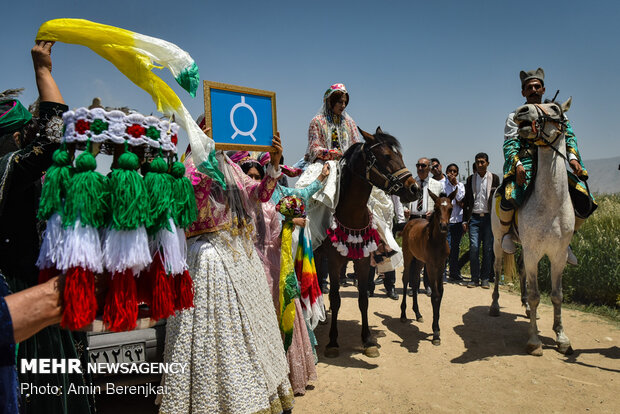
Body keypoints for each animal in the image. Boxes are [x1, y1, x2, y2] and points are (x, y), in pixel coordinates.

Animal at [314, 128, 422, 358]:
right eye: (387, 156)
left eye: (399, 155)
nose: (415, 188)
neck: (352, 214)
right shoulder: (334, 262)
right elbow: (335, 298)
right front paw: (333, 342)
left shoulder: (362, 261)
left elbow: (363, 299)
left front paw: (367, 340)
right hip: (318, 255)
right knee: (319, 282)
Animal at [400, 190, 458, 346]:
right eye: (436, 209)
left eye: (451, 208)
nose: (444, 226)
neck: (437, 242)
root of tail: (411, 222)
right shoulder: (431, 266)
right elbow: (435, 295)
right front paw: (436, 332)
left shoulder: (440, 266)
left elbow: (441, 293)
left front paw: (436, 330)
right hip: (408, 256)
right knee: (406, 279)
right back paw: (403, 314)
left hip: (420, 261)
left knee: (414, 281)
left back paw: (418, 313)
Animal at [492, 99, 572, 356]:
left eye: (555, 108)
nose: (522, 111)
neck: (551, 204)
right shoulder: (534, 252)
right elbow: (537, 295)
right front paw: (534, 340)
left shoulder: (557, 255)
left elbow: (557, 295)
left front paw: (561, 336)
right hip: (498, 241)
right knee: (497, 268)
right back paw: (495, 305)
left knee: (523, 271)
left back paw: (525, 306)